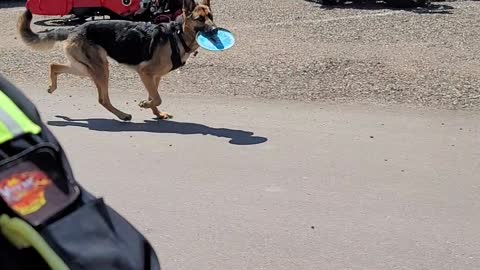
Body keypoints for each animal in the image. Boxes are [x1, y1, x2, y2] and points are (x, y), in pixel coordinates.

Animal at [16, 0, 216, 120]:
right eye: (200, 19)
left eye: (211, 17)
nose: (215, 30)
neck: (178, 35)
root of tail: (75, 28)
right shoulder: (145, 73)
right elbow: (157, 98)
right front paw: (145, 105)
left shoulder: (154, 77)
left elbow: (154, 96)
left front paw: (156, 113)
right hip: (100, 69)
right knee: (102, 99)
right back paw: (122, 115)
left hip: (85, 68)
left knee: (54, 65)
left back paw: (52, 86)